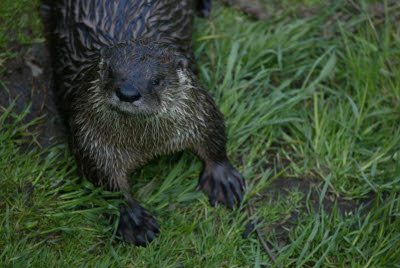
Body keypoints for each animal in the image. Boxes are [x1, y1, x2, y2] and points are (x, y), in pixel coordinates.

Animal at [47, 0, 247, 246]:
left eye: (156, 80)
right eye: (110, 72)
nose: (128, 93)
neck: (148, 146)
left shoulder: (200, 111)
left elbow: (215, 135)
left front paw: (223, 180)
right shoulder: (90, 141)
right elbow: (106, 183)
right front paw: (134, 220)